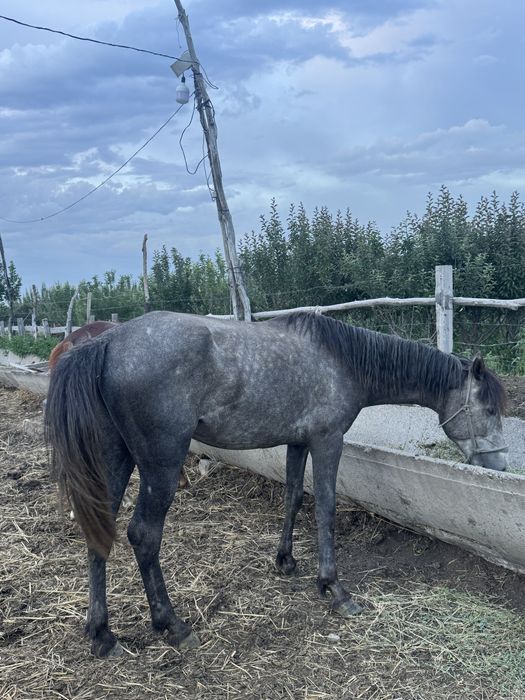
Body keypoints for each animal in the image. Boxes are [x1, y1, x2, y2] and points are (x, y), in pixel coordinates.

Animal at [44, 310, 508, 658]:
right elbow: (325, 507)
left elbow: (293, 499)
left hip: (114, 460)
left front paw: (285, 561)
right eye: (488, 408)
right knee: (143, 535)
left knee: (99, 531)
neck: (340, 361)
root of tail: (105, 345)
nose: (501, 465)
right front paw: (334, 588)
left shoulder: (297, 442)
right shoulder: (327, 442)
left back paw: (102, 635)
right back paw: (172, 624)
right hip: (160, 465)